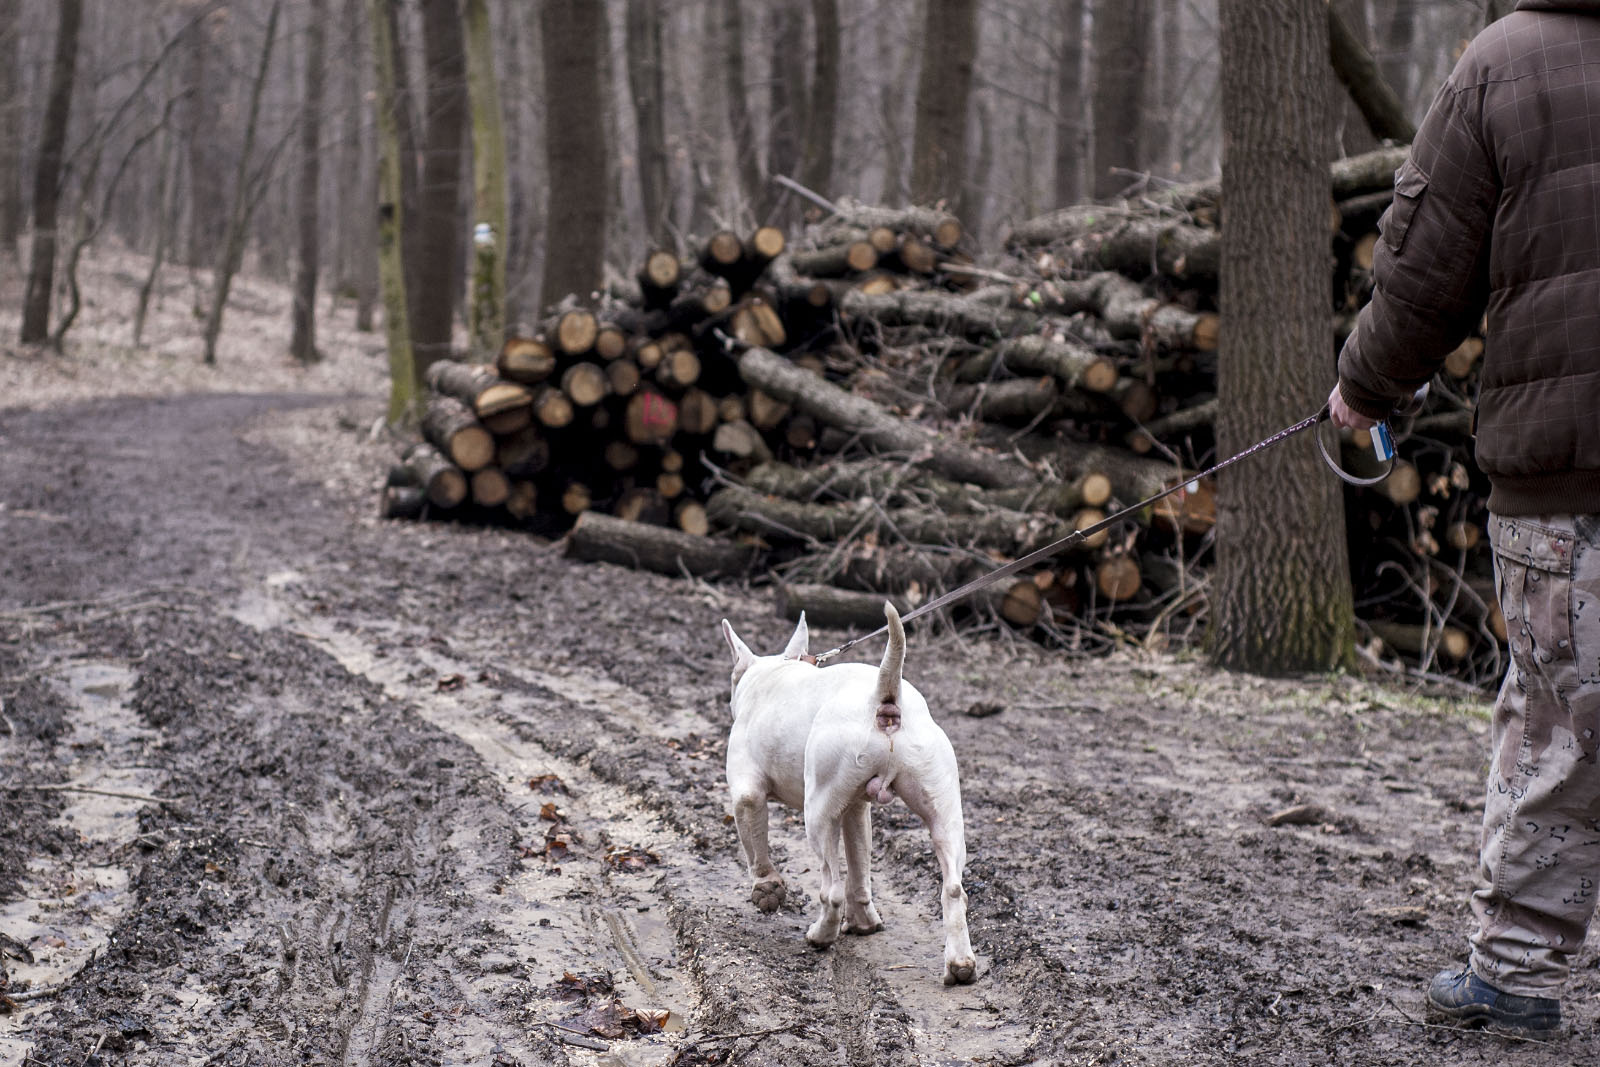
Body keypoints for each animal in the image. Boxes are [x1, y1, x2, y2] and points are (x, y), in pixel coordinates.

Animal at [723, 601, 972, 985]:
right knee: (953, 886)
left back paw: (820, 935)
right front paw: (864, 922)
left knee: (832, 889)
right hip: (944, 813)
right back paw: (960, 966)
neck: (774, 671)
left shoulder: (746, 793)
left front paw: (767, 889)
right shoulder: (856, 809)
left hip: (817, 813)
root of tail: (883, 697)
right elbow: (859, 865)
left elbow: (756, 848)